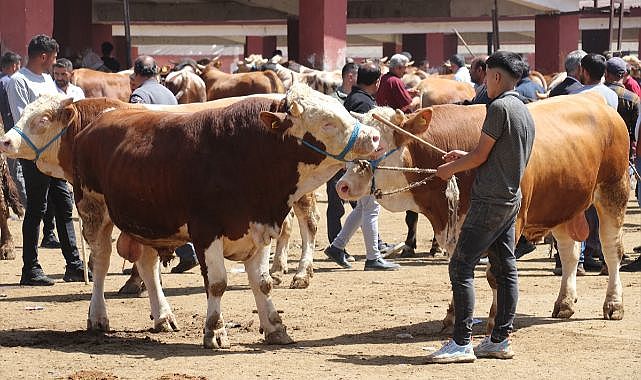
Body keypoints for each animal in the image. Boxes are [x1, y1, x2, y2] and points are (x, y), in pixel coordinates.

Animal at [0, 83, 380, 348]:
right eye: (328, 122)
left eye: (341, 110)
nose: (374, 136)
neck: (247, 149)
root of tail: (102, 118)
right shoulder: (206, 230)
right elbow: (217, 283)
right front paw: (215, 332)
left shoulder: (257, 228)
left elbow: (262, 282)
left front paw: (275, 327)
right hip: (94, 209)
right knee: (101, 263)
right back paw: (98, 317)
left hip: (149, 221)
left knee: (147, 265)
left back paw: (163, 316)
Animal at [338, 91, 628, 330]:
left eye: (377, 143)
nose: (343, 185)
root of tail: (596, 101)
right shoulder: (457, 226)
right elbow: (457, 269)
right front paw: (454, 315)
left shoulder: (511, 223)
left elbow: (495, 273)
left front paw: (495, 318)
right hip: (561, 204)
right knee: (569, 253)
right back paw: (565, 302)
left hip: (614, 191)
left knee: (611, 249)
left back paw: (614, 303)